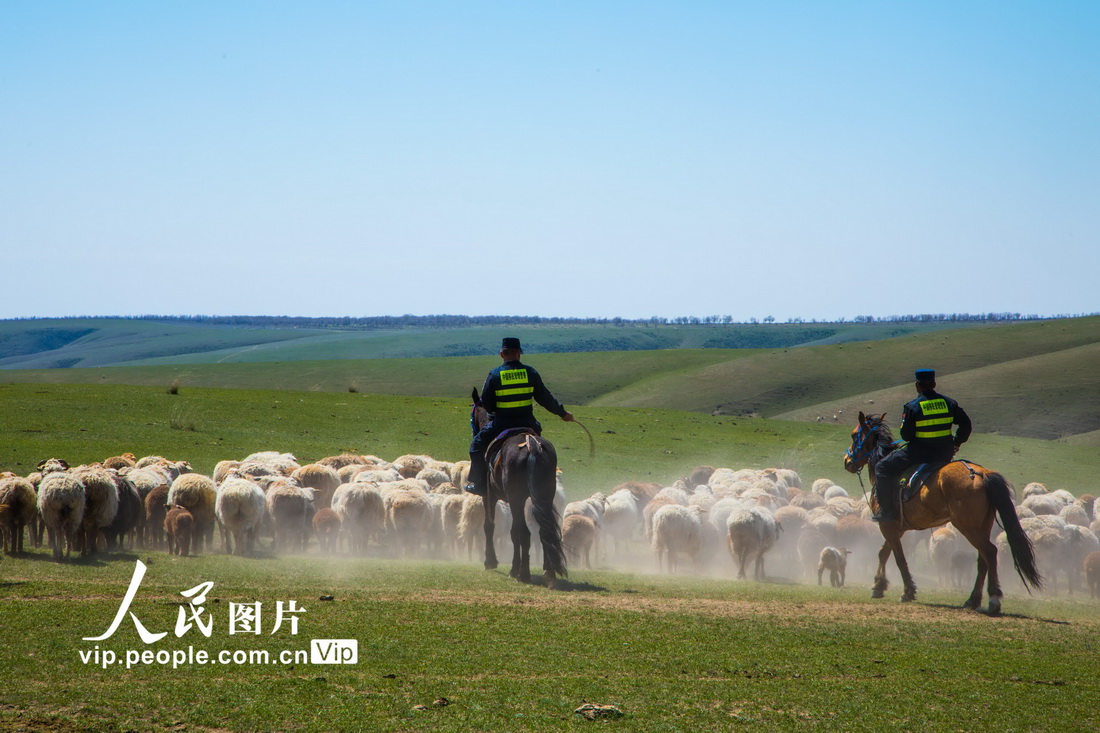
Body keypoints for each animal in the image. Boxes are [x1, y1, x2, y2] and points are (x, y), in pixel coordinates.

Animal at [468, 385, 567, 585]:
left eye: (472, 416)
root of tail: (532, 446)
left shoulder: (488, 496)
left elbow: (489, 525)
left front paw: (490, 561)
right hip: (544, 496)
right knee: (544, 531)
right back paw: (548, 572)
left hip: (516, 498)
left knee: (522, 532)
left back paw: (520, 572)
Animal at [840, 411, 1038, 611]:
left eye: (853, 435)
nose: (847, 461)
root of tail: (982, 473)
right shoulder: (897, 527)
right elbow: (884, 552)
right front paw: (879, 586)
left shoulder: (887, 524)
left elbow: (898, 557)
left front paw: (907, 590)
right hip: (984, 524)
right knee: (983, 559)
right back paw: (973, 599)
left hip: (967, 526)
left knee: (989, 552)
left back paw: (993, 599)